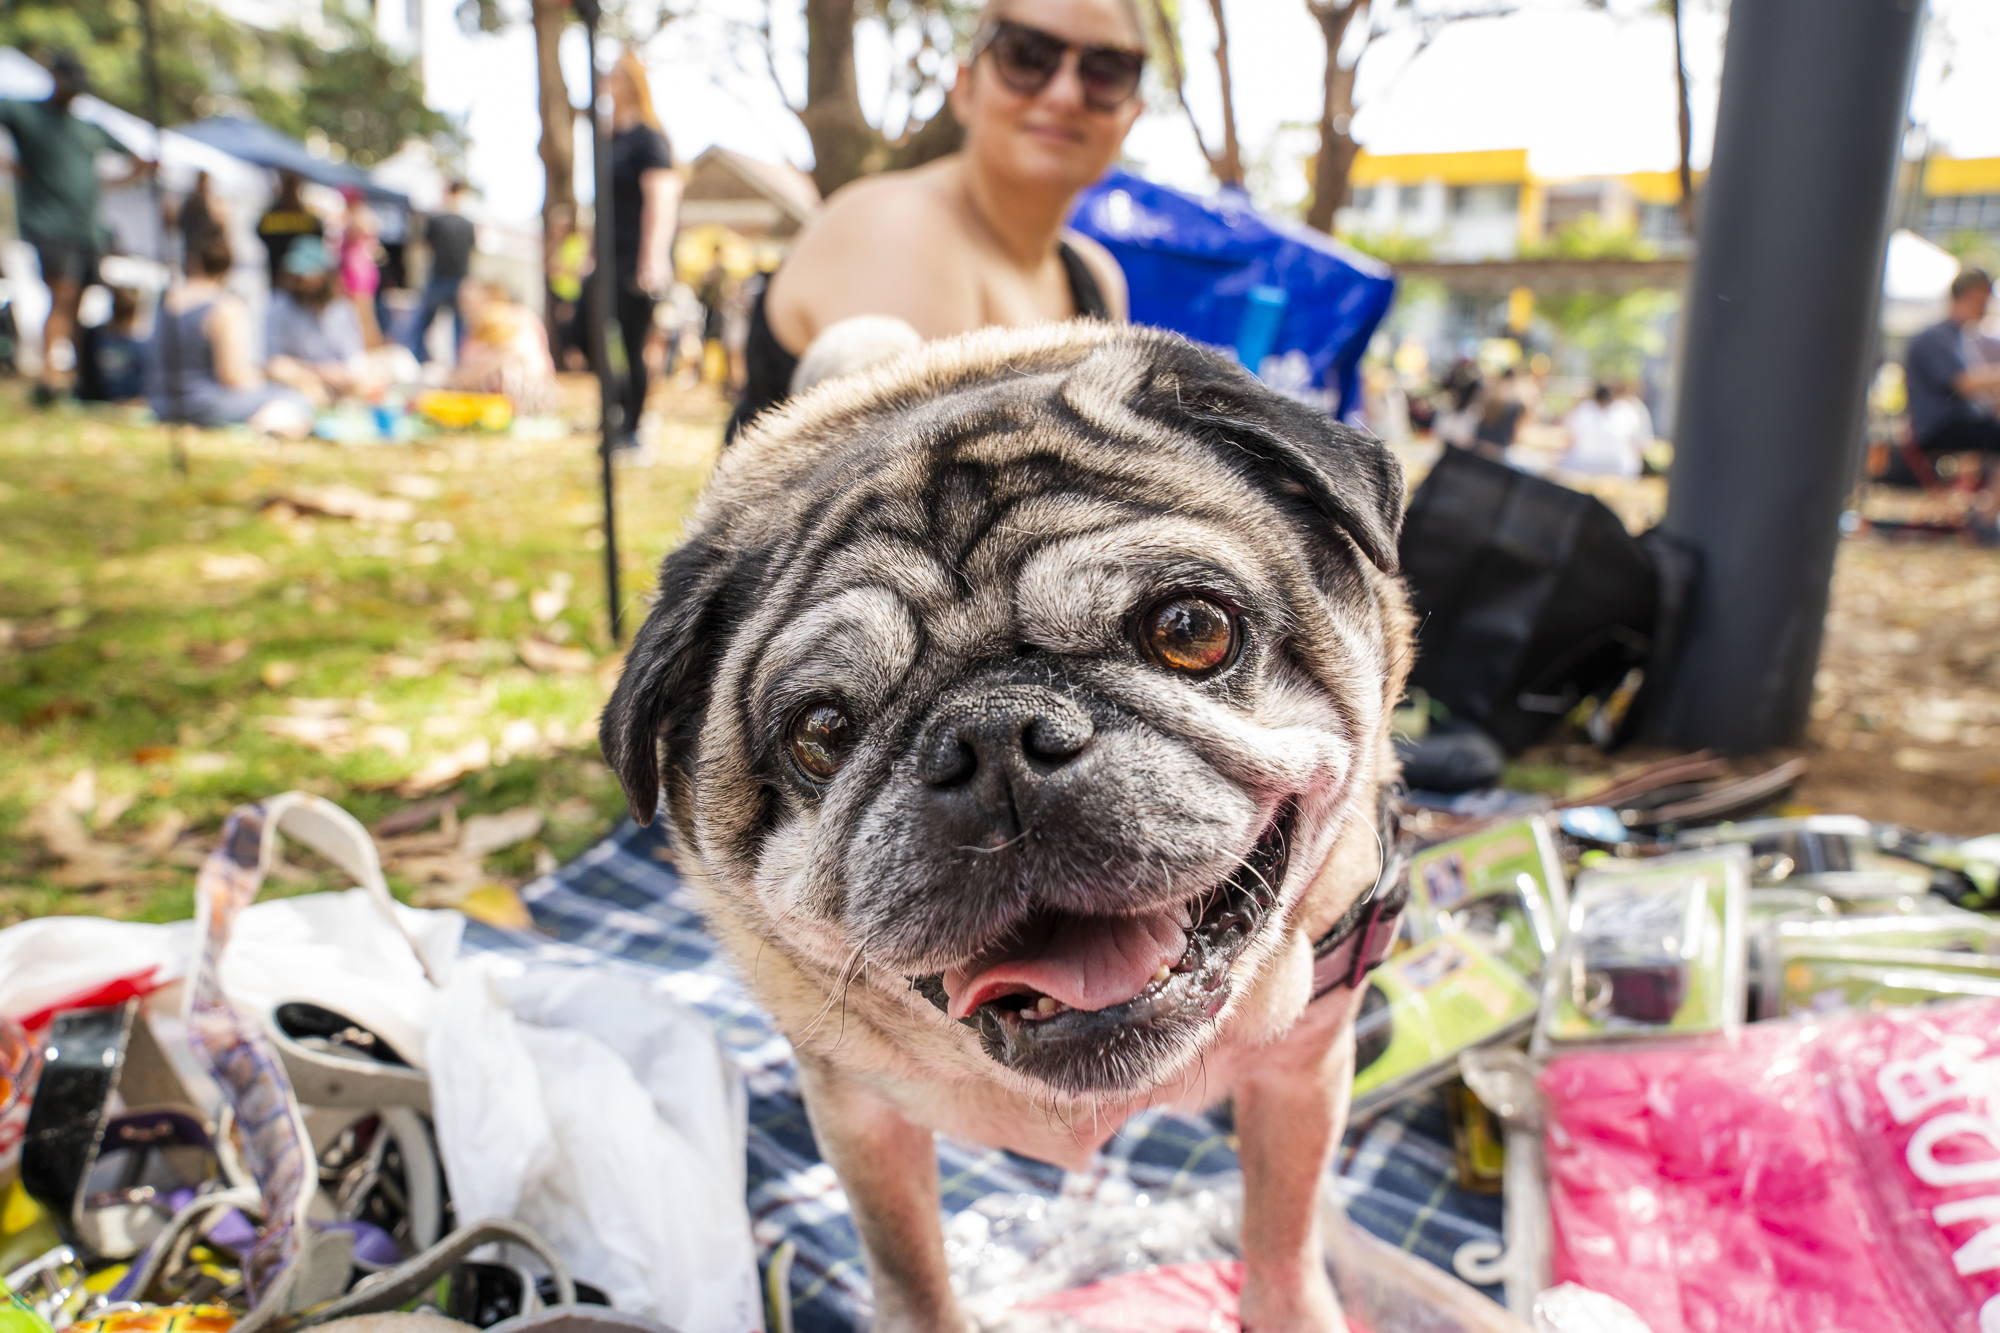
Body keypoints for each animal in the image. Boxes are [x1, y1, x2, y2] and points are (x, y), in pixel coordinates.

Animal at [601, 321, 1413, 1332]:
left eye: (1191, 630)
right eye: (823, 733)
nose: (995, 737)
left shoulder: (1302, 1075)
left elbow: (1283, 1227)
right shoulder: (860, 1120)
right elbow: (908, 1264)